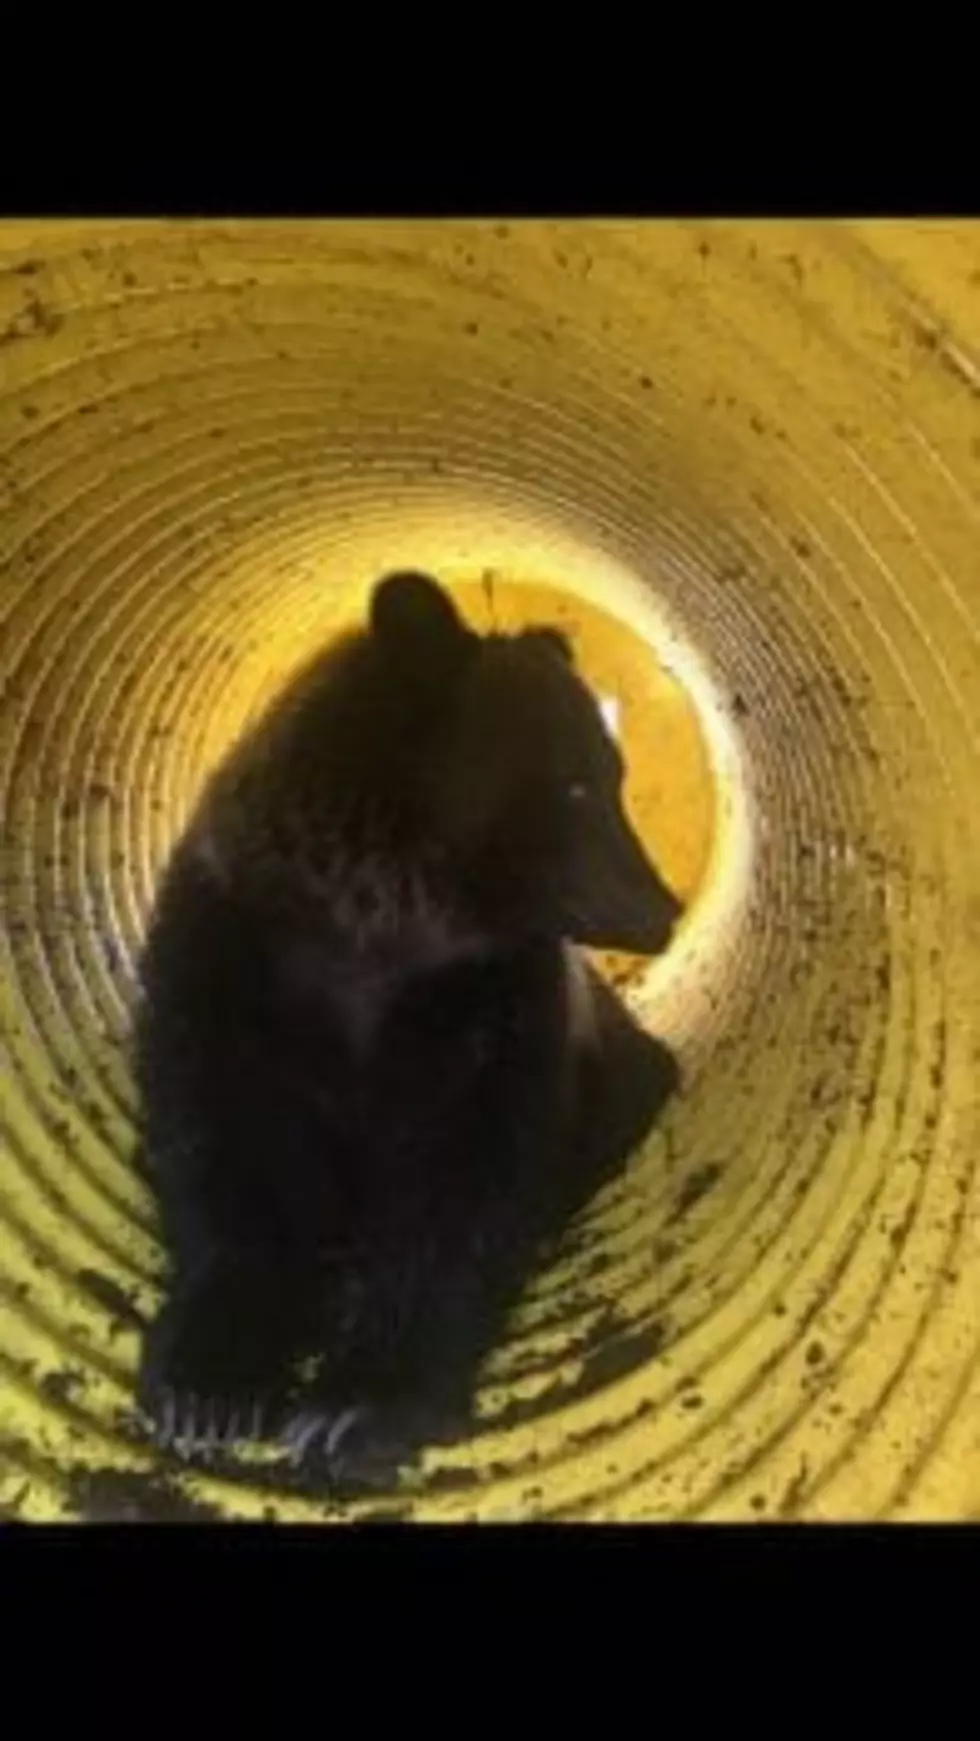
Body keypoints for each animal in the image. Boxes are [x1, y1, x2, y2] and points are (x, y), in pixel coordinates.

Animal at [134, 574, 685, 1483]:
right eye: (578, 783)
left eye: (613, 772)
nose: (663, 910)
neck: (382, 926)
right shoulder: (231, 959)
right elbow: (223, 1149)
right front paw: (206, 1387)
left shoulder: (491, 1009)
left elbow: (466, 1189)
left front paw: (354, 1407)